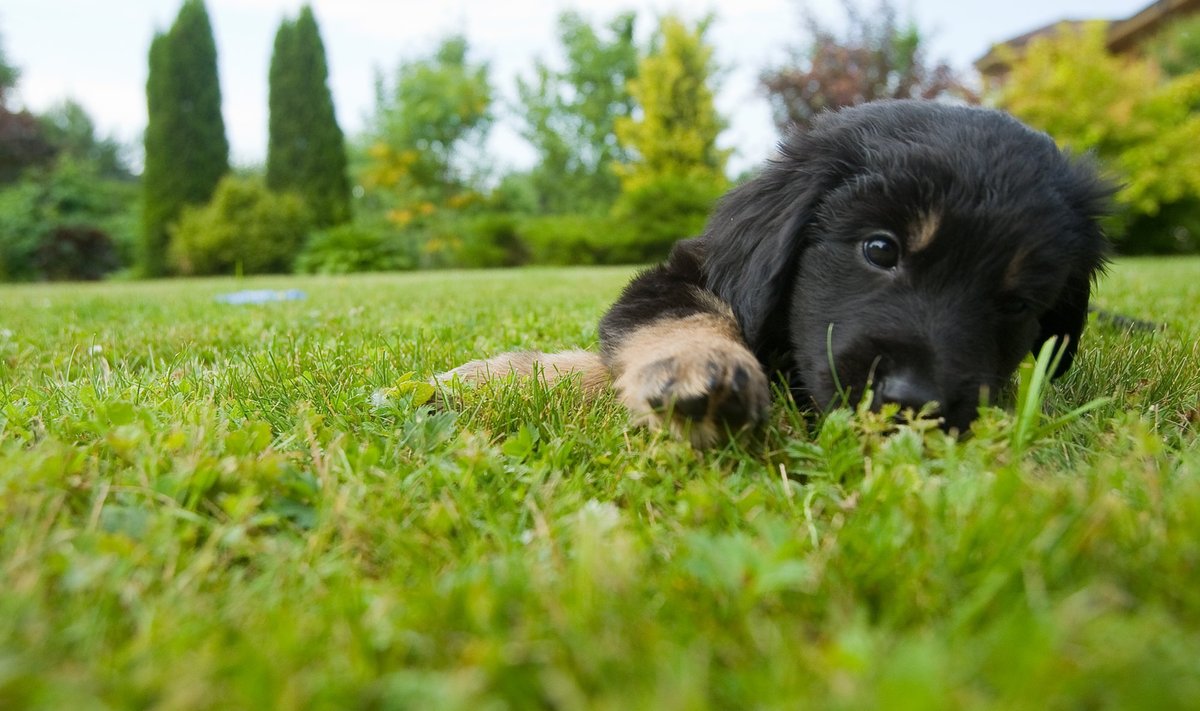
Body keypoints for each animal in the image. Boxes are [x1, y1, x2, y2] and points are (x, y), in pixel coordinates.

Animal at [446, 101, 1108, 444]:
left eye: (1017, 303)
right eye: (880, 249)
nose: (914, 406)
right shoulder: (691, 272)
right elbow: (671, 322)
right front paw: (700, 371)